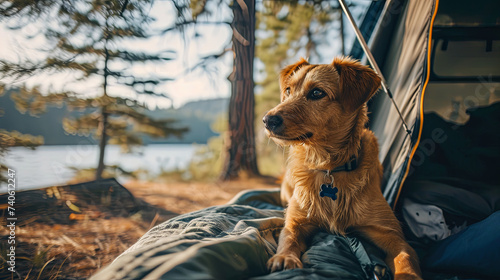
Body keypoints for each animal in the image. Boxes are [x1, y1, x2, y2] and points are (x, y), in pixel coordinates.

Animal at [262, 57, 422, 280]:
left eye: (317, 93)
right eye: (287, 90)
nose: (267, 120)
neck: (329, 166)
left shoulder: (392, 234)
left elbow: (404, 257)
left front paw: (407, 274)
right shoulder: (297, 221)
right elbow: (288, 237)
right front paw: (284, 257)